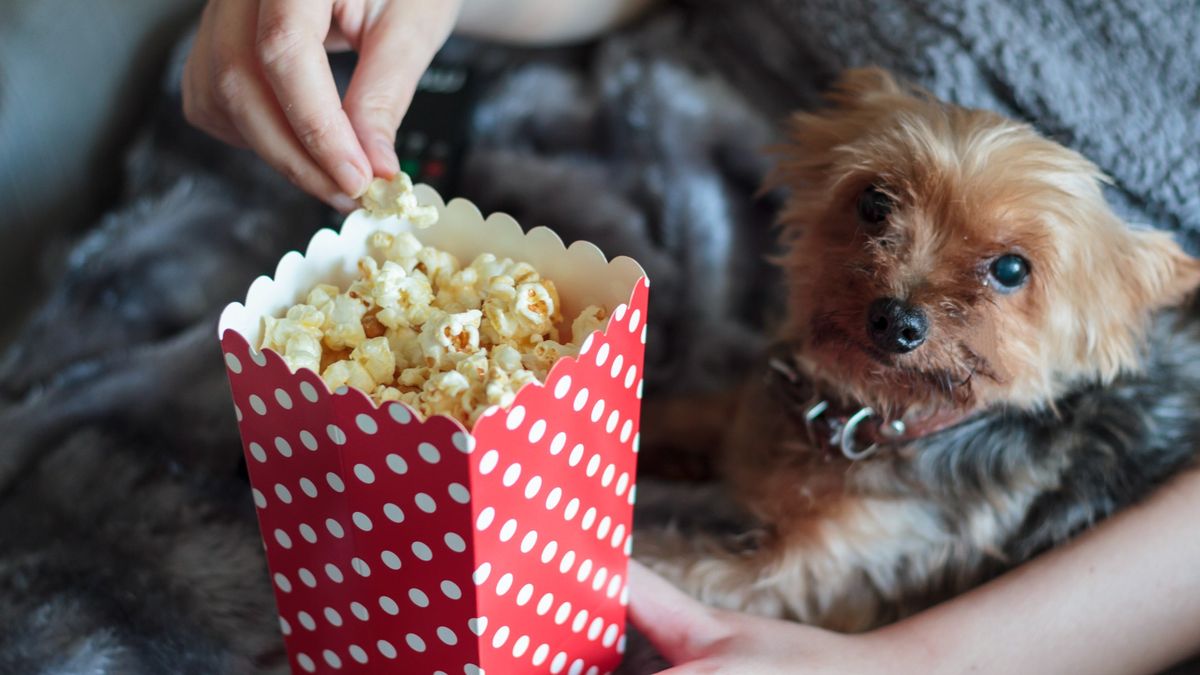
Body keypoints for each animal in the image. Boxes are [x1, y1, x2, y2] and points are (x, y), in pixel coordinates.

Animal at [638, 68, 1200, 629]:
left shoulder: (814, 575)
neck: (861, 419)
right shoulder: (742, 411)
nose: (896, 322)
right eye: (874, 203)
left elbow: (676, 566)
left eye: (1012, 269)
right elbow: (684, 412)